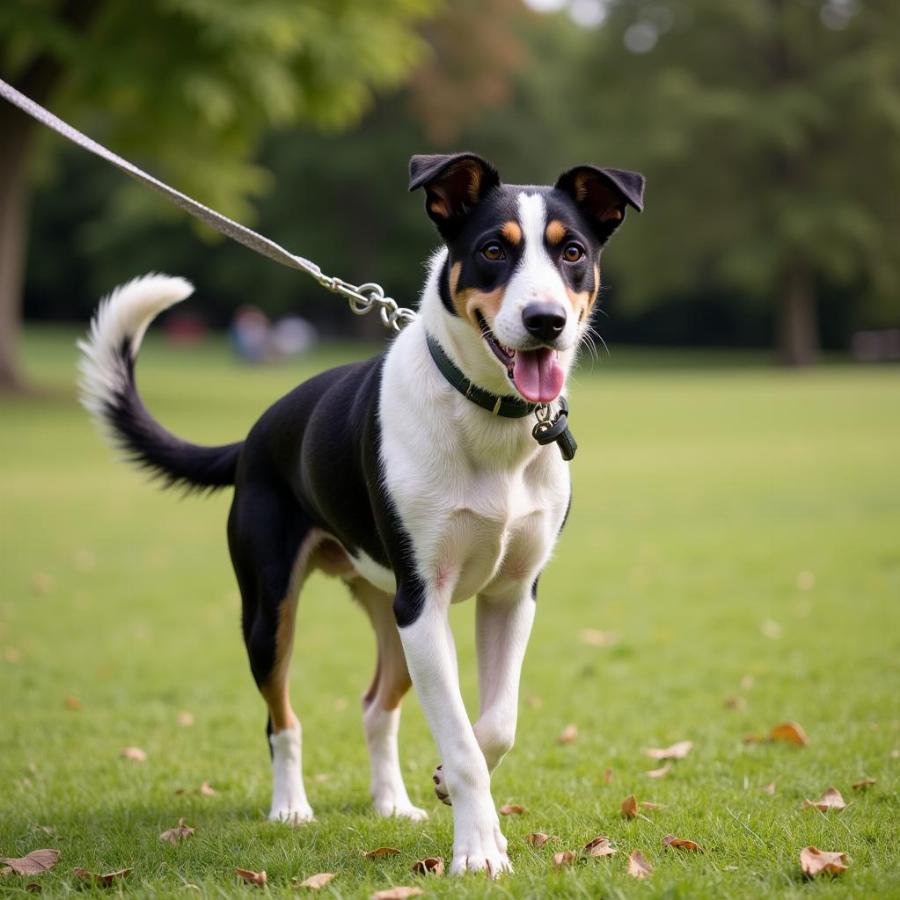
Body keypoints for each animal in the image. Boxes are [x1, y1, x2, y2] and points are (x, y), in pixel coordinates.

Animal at [75, 151, 640, 876]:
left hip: (387, 605)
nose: (546, 320)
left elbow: (495, 726)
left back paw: (392, 803)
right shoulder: (424, 599)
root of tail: (254, 435)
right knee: (281, 718)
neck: (489, 417)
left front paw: (448, 791)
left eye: (573, 252)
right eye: (493, 250)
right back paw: (291, 807)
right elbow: (463, 742)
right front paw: (477, 851)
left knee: (376, 706)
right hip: (275, 609)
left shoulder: (510, 595)